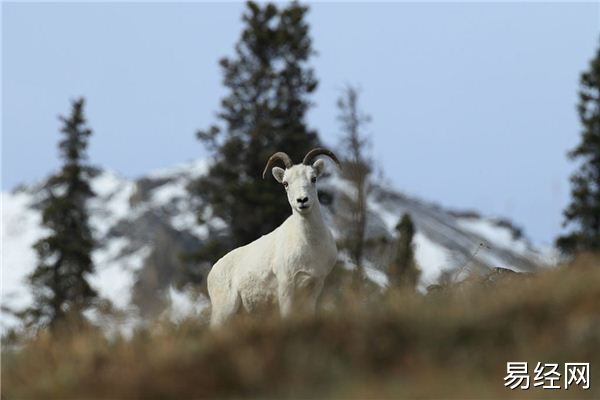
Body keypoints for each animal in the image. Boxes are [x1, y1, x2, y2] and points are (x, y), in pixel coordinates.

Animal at [207, 148, 340, 326]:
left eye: (313, 178)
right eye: (285, 183)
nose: (302, 200)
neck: (310, 245)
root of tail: (212, 273)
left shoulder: (314, 288)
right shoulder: (286, 288)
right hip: (223, 313)